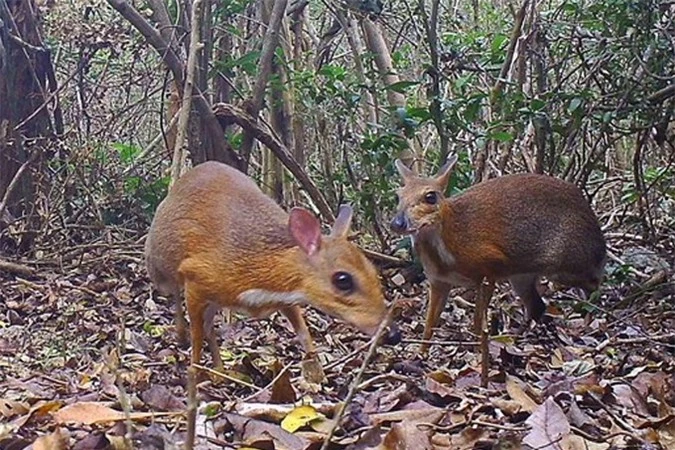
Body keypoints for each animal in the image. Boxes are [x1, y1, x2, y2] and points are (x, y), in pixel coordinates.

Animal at [145, 160, 388, 374]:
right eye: (343, 280)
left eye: (373, 271)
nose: (391, 333)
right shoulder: (195, 275)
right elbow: (196, 337)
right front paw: (195, 374)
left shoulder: (286, 297)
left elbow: (304, 332)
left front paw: (318, 373)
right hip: (159, 268)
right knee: (176, 296)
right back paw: (182, 337)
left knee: (208, 324)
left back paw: (220, 370)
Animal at [390, 156, 608, 354]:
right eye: (398, 196)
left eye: (430, 196)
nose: (397, 223)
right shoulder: (438, 281)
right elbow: (429, 324)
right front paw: (421, 354)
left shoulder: (489, 267)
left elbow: (478, 320)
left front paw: (477, 349)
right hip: (521, 276)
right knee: (537, 306)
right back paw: (516, 336)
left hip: (568, 264)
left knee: (596, 284)